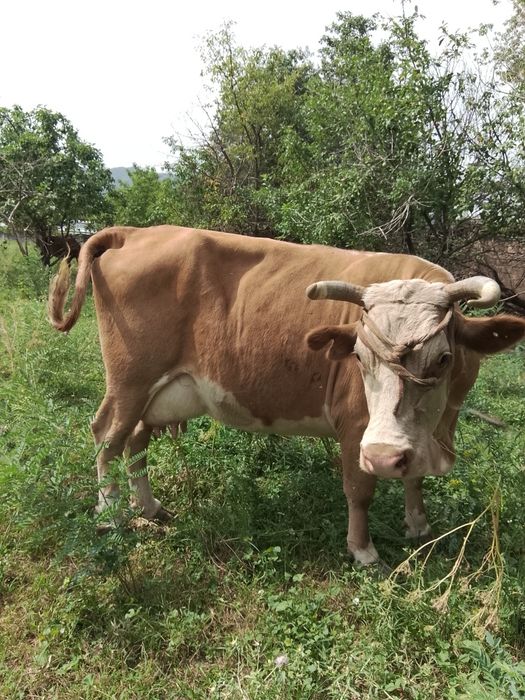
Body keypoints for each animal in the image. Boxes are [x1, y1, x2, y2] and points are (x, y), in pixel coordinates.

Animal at [48, 225, 525, 565]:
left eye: (443, 359)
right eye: (359, 356)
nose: (383, 456)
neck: (439, 429)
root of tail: (135, 231)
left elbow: (413, 478)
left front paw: (418, 526)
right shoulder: (358, 427)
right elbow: (359, 489)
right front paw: (363, 551)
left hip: (154, 393)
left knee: (136, 441)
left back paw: (150, 507)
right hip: (129, 381)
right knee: (107, 437)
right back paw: (112, 520)